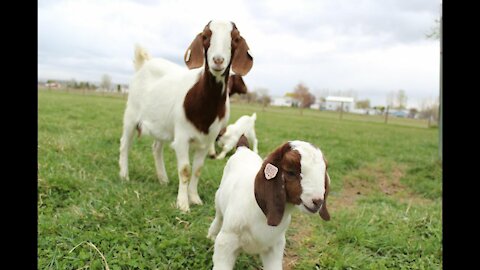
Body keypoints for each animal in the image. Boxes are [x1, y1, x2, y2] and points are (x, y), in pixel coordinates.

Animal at [118, 20, 253, 213]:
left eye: (234, 39)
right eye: (205, 36)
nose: (218, 60)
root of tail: (144, 63)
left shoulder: (206, 140)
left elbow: (197, 169)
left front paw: (194, 198)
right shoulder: (182, 136)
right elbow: (185, 170)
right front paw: (182, 204)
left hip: (163, 124)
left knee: (156, 148)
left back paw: (163, 179)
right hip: (131, 114)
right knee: (125, 144)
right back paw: (124, 175)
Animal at [208, 140, 332, 268]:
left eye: (324, 171)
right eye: (291, 172)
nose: (318, 201)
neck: (263, 213)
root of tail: (243, 149)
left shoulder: (275, 246)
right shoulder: (226, 242)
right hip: (218, 200)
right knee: (218, 217)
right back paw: (211, 235)